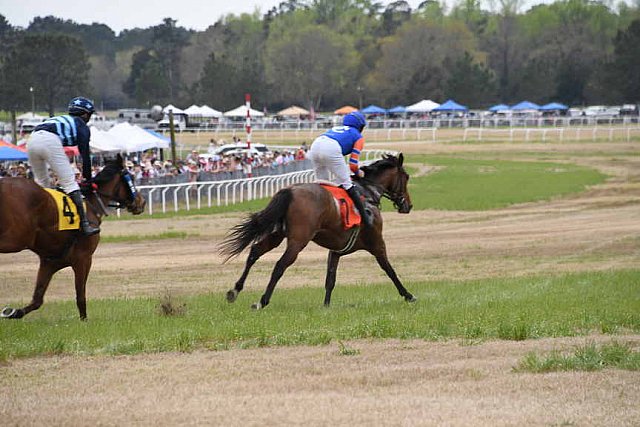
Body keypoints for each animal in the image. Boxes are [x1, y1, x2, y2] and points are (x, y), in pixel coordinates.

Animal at [0, 153, 146, 318]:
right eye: (131, 178)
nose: (142, 201)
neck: (90, 205)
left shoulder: (49, 262)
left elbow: (37, 299)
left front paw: (13, 312)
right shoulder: (83, 259)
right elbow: (80, 297)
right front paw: (84, 320)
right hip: (15, 238)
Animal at [222, 152, 418, 310]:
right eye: (407, 177)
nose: (408, 205)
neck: (368, 194)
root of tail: (290, 190)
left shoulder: (336, 250)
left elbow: (330, 278)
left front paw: (326, 305)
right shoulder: (377, 243)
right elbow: (389, 270)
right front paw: (408, 295)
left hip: (278, 233)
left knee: (255, 252)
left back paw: (235, 290)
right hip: (299, 239)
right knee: (280, 265)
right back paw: (262, 301)